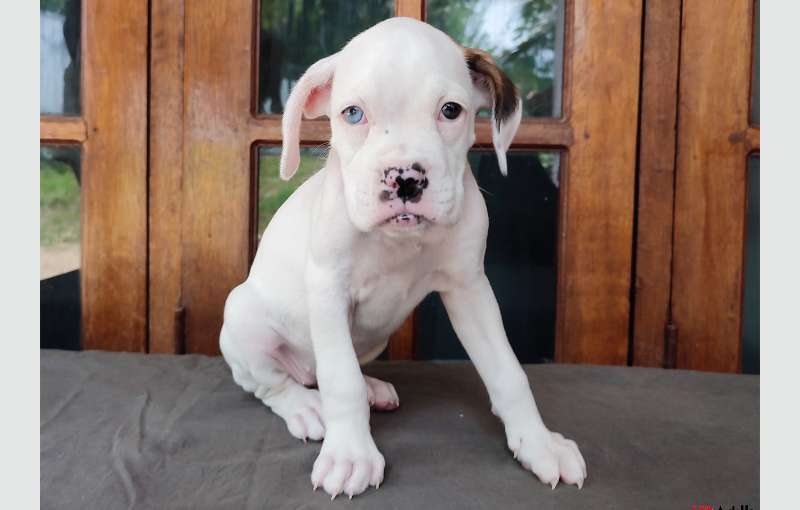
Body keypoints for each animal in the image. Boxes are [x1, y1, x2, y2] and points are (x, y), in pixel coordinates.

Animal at [222, 15, 584, 498]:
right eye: (353, 114)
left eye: (450, 110)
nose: (406, 179)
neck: (399, 241)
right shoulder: (328, 288)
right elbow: (340, 382)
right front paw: (350, 455)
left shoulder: (470, 289)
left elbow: (509, 373)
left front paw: (539, 443)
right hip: (244, 318)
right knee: (273, 384)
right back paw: (305, 407)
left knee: (327, 370)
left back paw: (371, 387)